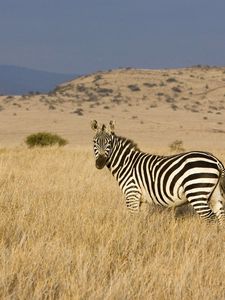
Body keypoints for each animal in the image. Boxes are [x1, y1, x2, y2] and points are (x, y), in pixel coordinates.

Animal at [90, 119, 225, 225]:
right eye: (94, 142)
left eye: (109, 143)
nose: (100, 163)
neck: (126, 163)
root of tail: (216, 160)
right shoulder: (137, 199)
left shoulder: (132, 194)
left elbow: (133, 220)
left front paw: (132, 237)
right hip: (214, 194)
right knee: (221, 217)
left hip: (196, 192)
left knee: (211, 218)